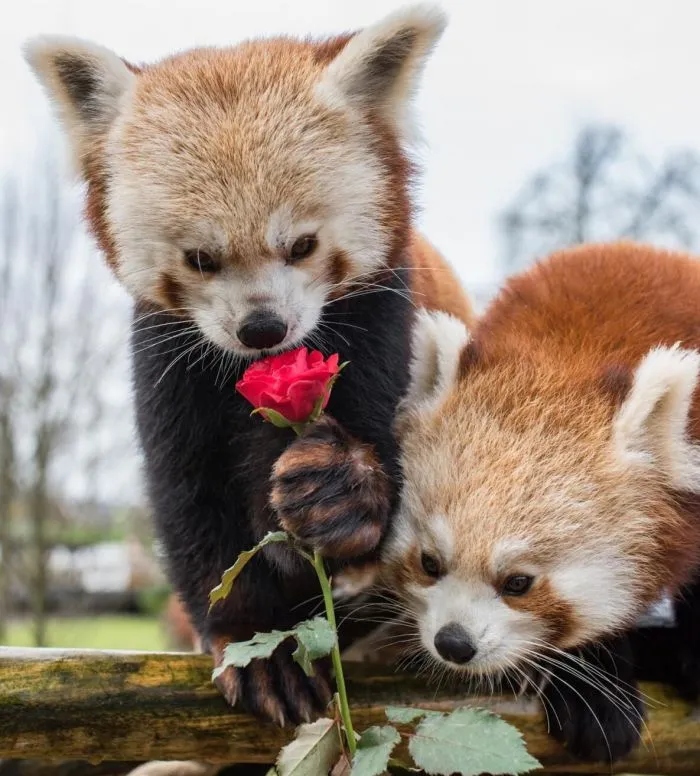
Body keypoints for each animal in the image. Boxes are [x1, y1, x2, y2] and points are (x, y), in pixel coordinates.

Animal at [27, 4, 476, 728]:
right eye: (201, 258)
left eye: (302, 245)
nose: (263, 328)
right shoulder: (166, 358)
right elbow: (190, 500)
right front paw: (256, 646)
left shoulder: (385, 322)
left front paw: (338, 492)